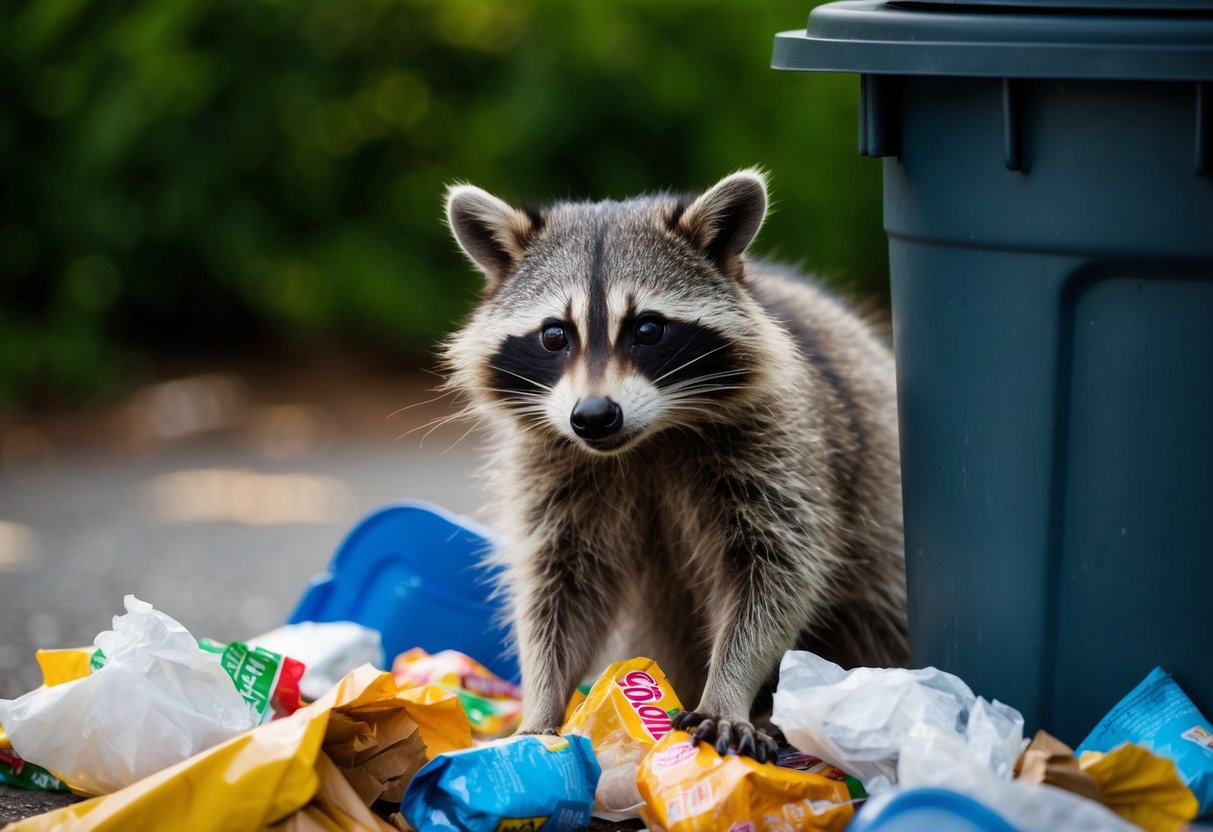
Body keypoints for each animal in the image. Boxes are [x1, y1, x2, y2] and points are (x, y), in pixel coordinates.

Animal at [440, 170, 907, 761]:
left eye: (647, 329)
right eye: (554, 335)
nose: (593, 417)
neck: (645, 441)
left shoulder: (782, 446)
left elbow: (773, 576)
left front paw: (728, 690)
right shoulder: (551, 465)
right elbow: (559, 587)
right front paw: (542, 703)